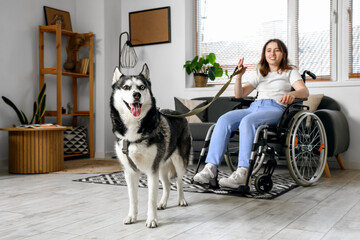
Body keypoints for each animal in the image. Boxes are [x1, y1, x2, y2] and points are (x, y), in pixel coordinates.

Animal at [110, 63, 191, 227]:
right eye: (126, 87)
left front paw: (152, 219)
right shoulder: (130, 172)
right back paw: (163, 203)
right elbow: (133, 198)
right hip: (162, 165)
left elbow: (151, 199)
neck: (134, 127)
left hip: (179, 161)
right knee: (167, 185)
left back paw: (181, 200)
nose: (136, 95)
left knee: (179, 181)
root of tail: (179, 113)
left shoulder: (151, 171)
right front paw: (132, 216)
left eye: (141, 87)